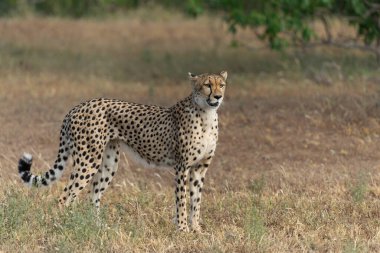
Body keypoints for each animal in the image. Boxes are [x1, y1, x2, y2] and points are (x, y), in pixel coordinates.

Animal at [17, 70, 227, 231]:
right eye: (207, 85)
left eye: (222, 85)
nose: (218, 97)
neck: (206, 114)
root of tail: (77, 107)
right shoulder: (182, 167)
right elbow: (182, 201)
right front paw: (183, 229)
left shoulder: (199, 168)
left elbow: (196, 201)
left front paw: (197, 229)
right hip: (88, 161)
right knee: (65, 196)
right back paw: (63, 225)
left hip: (108, 163)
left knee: (91, 196)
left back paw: (96, 227)